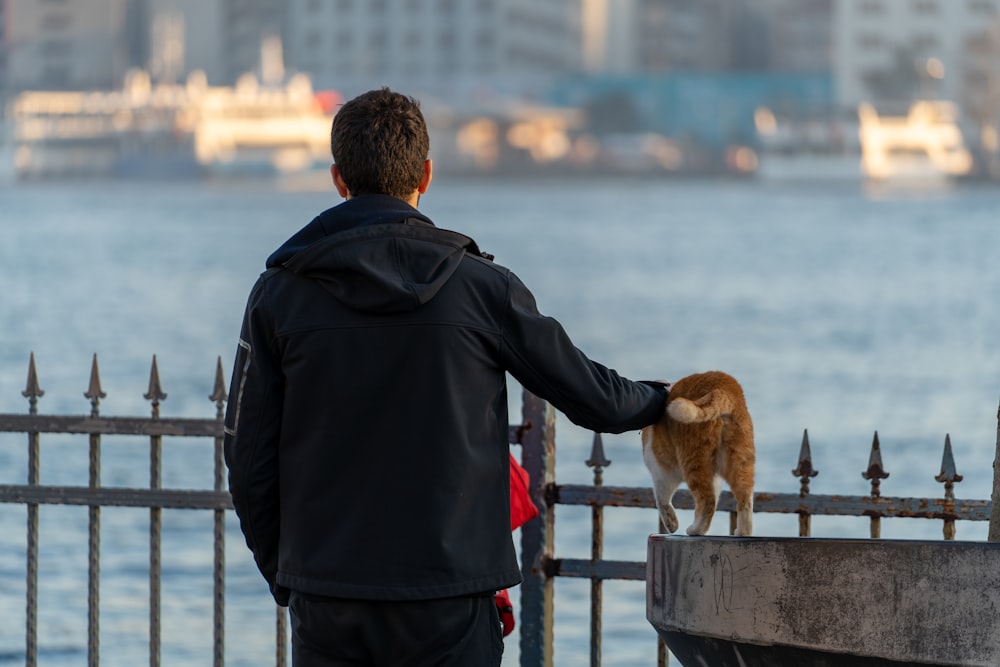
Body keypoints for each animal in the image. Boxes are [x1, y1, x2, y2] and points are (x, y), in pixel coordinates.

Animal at [644, 370, 752, 536]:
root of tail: (723, 389)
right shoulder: (716, 479)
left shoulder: (661, 471)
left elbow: (661, 499)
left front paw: (671, 524)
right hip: (740, 459)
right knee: (744, 498)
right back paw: (742, 532)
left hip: (693, 459)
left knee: (707, 501)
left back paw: (695, 530)